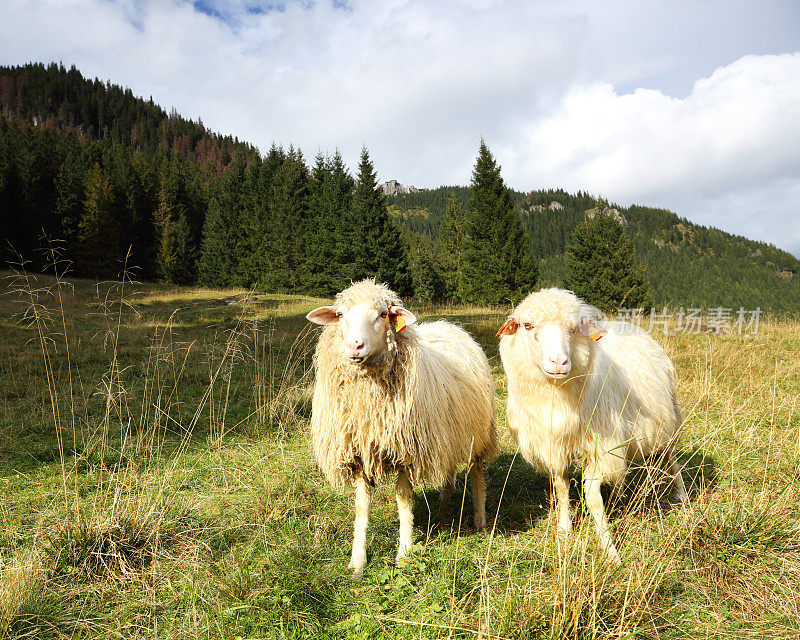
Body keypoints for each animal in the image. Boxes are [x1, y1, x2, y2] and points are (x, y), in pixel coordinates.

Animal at [308, 280, 500, 576]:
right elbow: (361, 507)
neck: (369, 401)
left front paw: (405, 552)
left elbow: (404, 501)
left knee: (477, 471)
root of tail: (450, 325)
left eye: (382, 314)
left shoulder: (407, 452)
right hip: (446, 433)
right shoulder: (360, 453)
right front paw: (357, 561)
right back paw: (445, 497)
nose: (355, 346)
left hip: (478, 433)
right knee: (448, 465)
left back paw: (479, 518)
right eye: (340, 315)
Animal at [494, 288, 688, 564]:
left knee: (671, 455)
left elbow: (592, 496)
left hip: (667, 414)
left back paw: (680, 493)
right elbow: (562, 488)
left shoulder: (603, 447)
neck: (557, 396)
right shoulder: (553, 446)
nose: (559, 363)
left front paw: (609, 549)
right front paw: (564, 531)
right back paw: (621, 495)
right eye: (527, 325)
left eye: (575, 328)